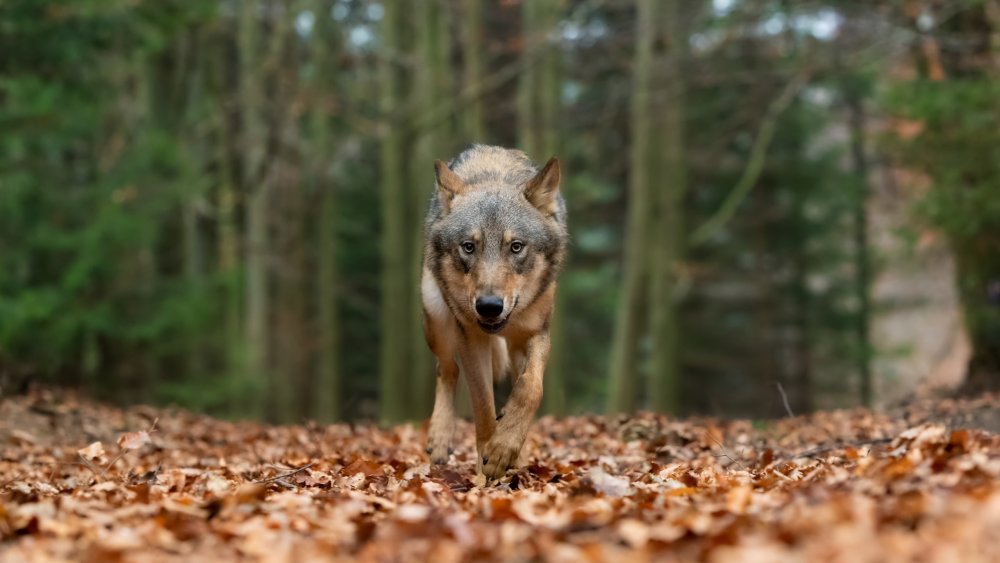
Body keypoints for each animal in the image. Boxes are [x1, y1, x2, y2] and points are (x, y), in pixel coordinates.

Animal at [418, 144, 568, 480]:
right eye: (468, 246)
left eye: (516, 246)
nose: (488, 307)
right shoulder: (471, 338)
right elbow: (484, 406)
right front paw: (489, 460)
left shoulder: (537, 333)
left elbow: (529, 388)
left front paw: (505, 448)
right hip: (437, 318)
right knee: (447, 369)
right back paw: (439, 439)